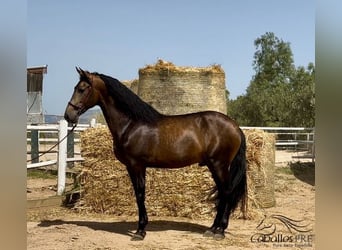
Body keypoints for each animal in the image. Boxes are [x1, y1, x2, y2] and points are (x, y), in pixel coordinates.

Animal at [64, 67, 247, 241]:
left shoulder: (137, 165)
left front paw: (140, 231)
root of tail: (236, 127)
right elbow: (139, 194)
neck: (132, 124)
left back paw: (219, 231)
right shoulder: (133, 167)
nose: (68, 115)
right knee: (223, 192)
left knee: (226, 192)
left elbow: (140, 194)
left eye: (81, 89)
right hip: (214, 165)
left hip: (219, 165)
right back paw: (213, 229)